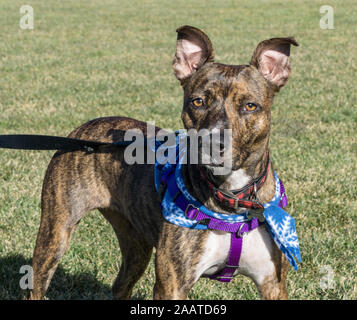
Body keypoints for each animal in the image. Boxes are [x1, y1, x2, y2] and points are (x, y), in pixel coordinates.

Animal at [28, 25, 298, 300]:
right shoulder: (172, 286)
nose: (212, 143)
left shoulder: (273, 284)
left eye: (250, 106)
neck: (231, 198)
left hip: (135, 244)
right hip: (55, 233)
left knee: (122, 283)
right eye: (198, 102)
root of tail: (85, 129)